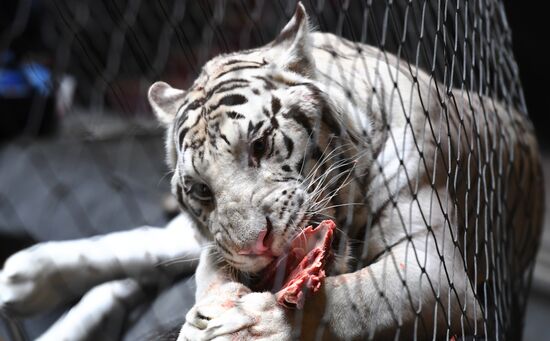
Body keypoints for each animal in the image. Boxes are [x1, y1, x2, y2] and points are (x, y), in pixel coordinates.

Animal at [0, 3, 544, 340]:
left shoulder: (432, 265)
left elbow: (359, 297)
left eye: (259, 145)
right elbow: (204, 268)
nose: (254, 247)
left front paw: (249, 325)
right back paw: (24, 278)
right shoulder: (215, 247)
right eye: (200, 190)